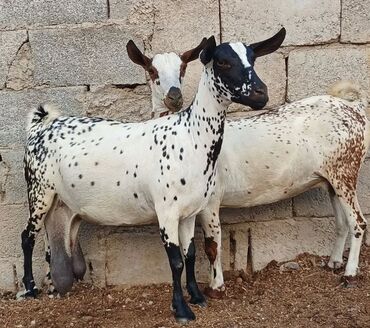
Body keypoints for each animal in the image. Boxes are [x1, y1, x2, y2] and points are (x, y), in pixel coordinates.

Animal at [19, 31, 284, 322]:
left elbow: (190, 255)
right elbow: (176, 262)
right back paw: (30, 288)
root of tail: (39, 126)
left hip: (62, 200)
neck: (190, 136)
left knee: (52, 235)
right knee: (27, 237)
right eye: (223, 62)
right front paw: (181, 309)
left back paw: (53, 286)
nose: (261, 94)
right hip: (38, 190)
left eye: (253, 58)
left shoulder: (190, 212)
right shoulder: (166, 210)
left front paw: (197, 297)